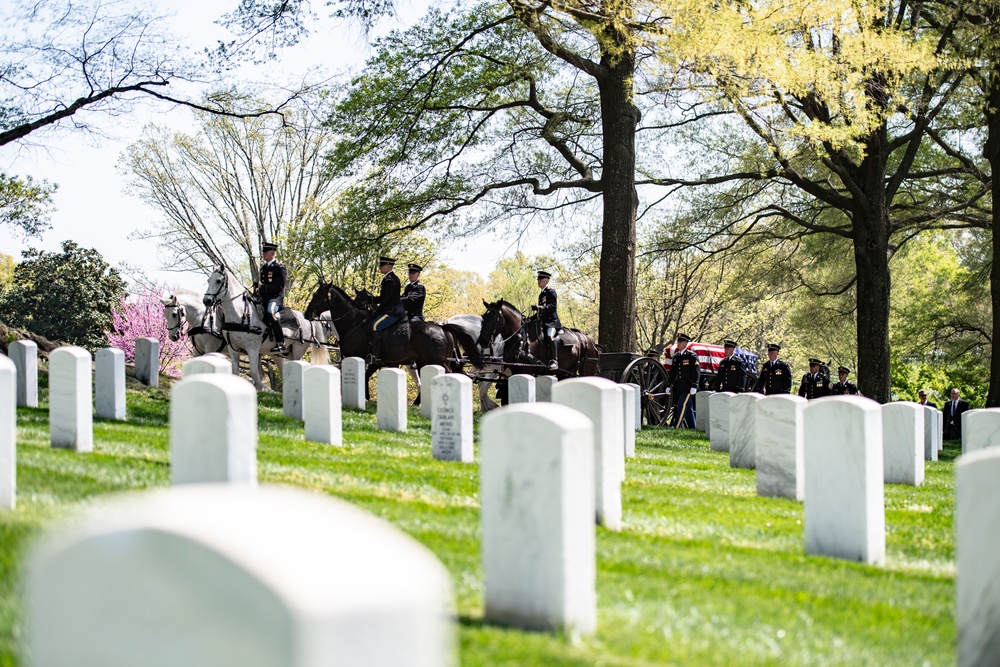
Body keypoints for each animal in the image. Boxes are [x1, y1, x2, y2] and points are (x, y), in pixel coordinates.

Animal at [302, 280, 482, 396]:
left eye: (319, 296)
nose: (306, 314)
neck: (353, 323)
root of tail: (442, 327)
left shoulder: (356, 357)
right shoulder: (377, 361)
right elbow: (365, 376)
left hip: (437, 361)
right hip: (426, 362)